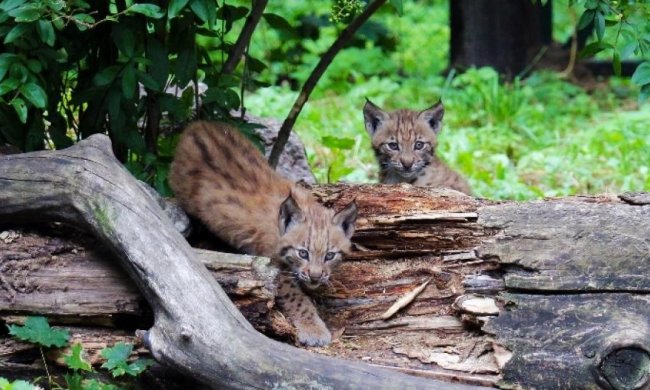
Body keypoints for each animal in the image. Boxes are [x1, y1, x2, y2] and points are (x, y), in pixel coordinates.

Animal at [167, 120, 356, 346]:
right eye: (303, 253)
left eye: (329, 255)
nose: (316, 276)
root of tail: (199, 124)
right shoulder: (272, 266)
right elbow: (297, 299)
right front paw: (314, 329)